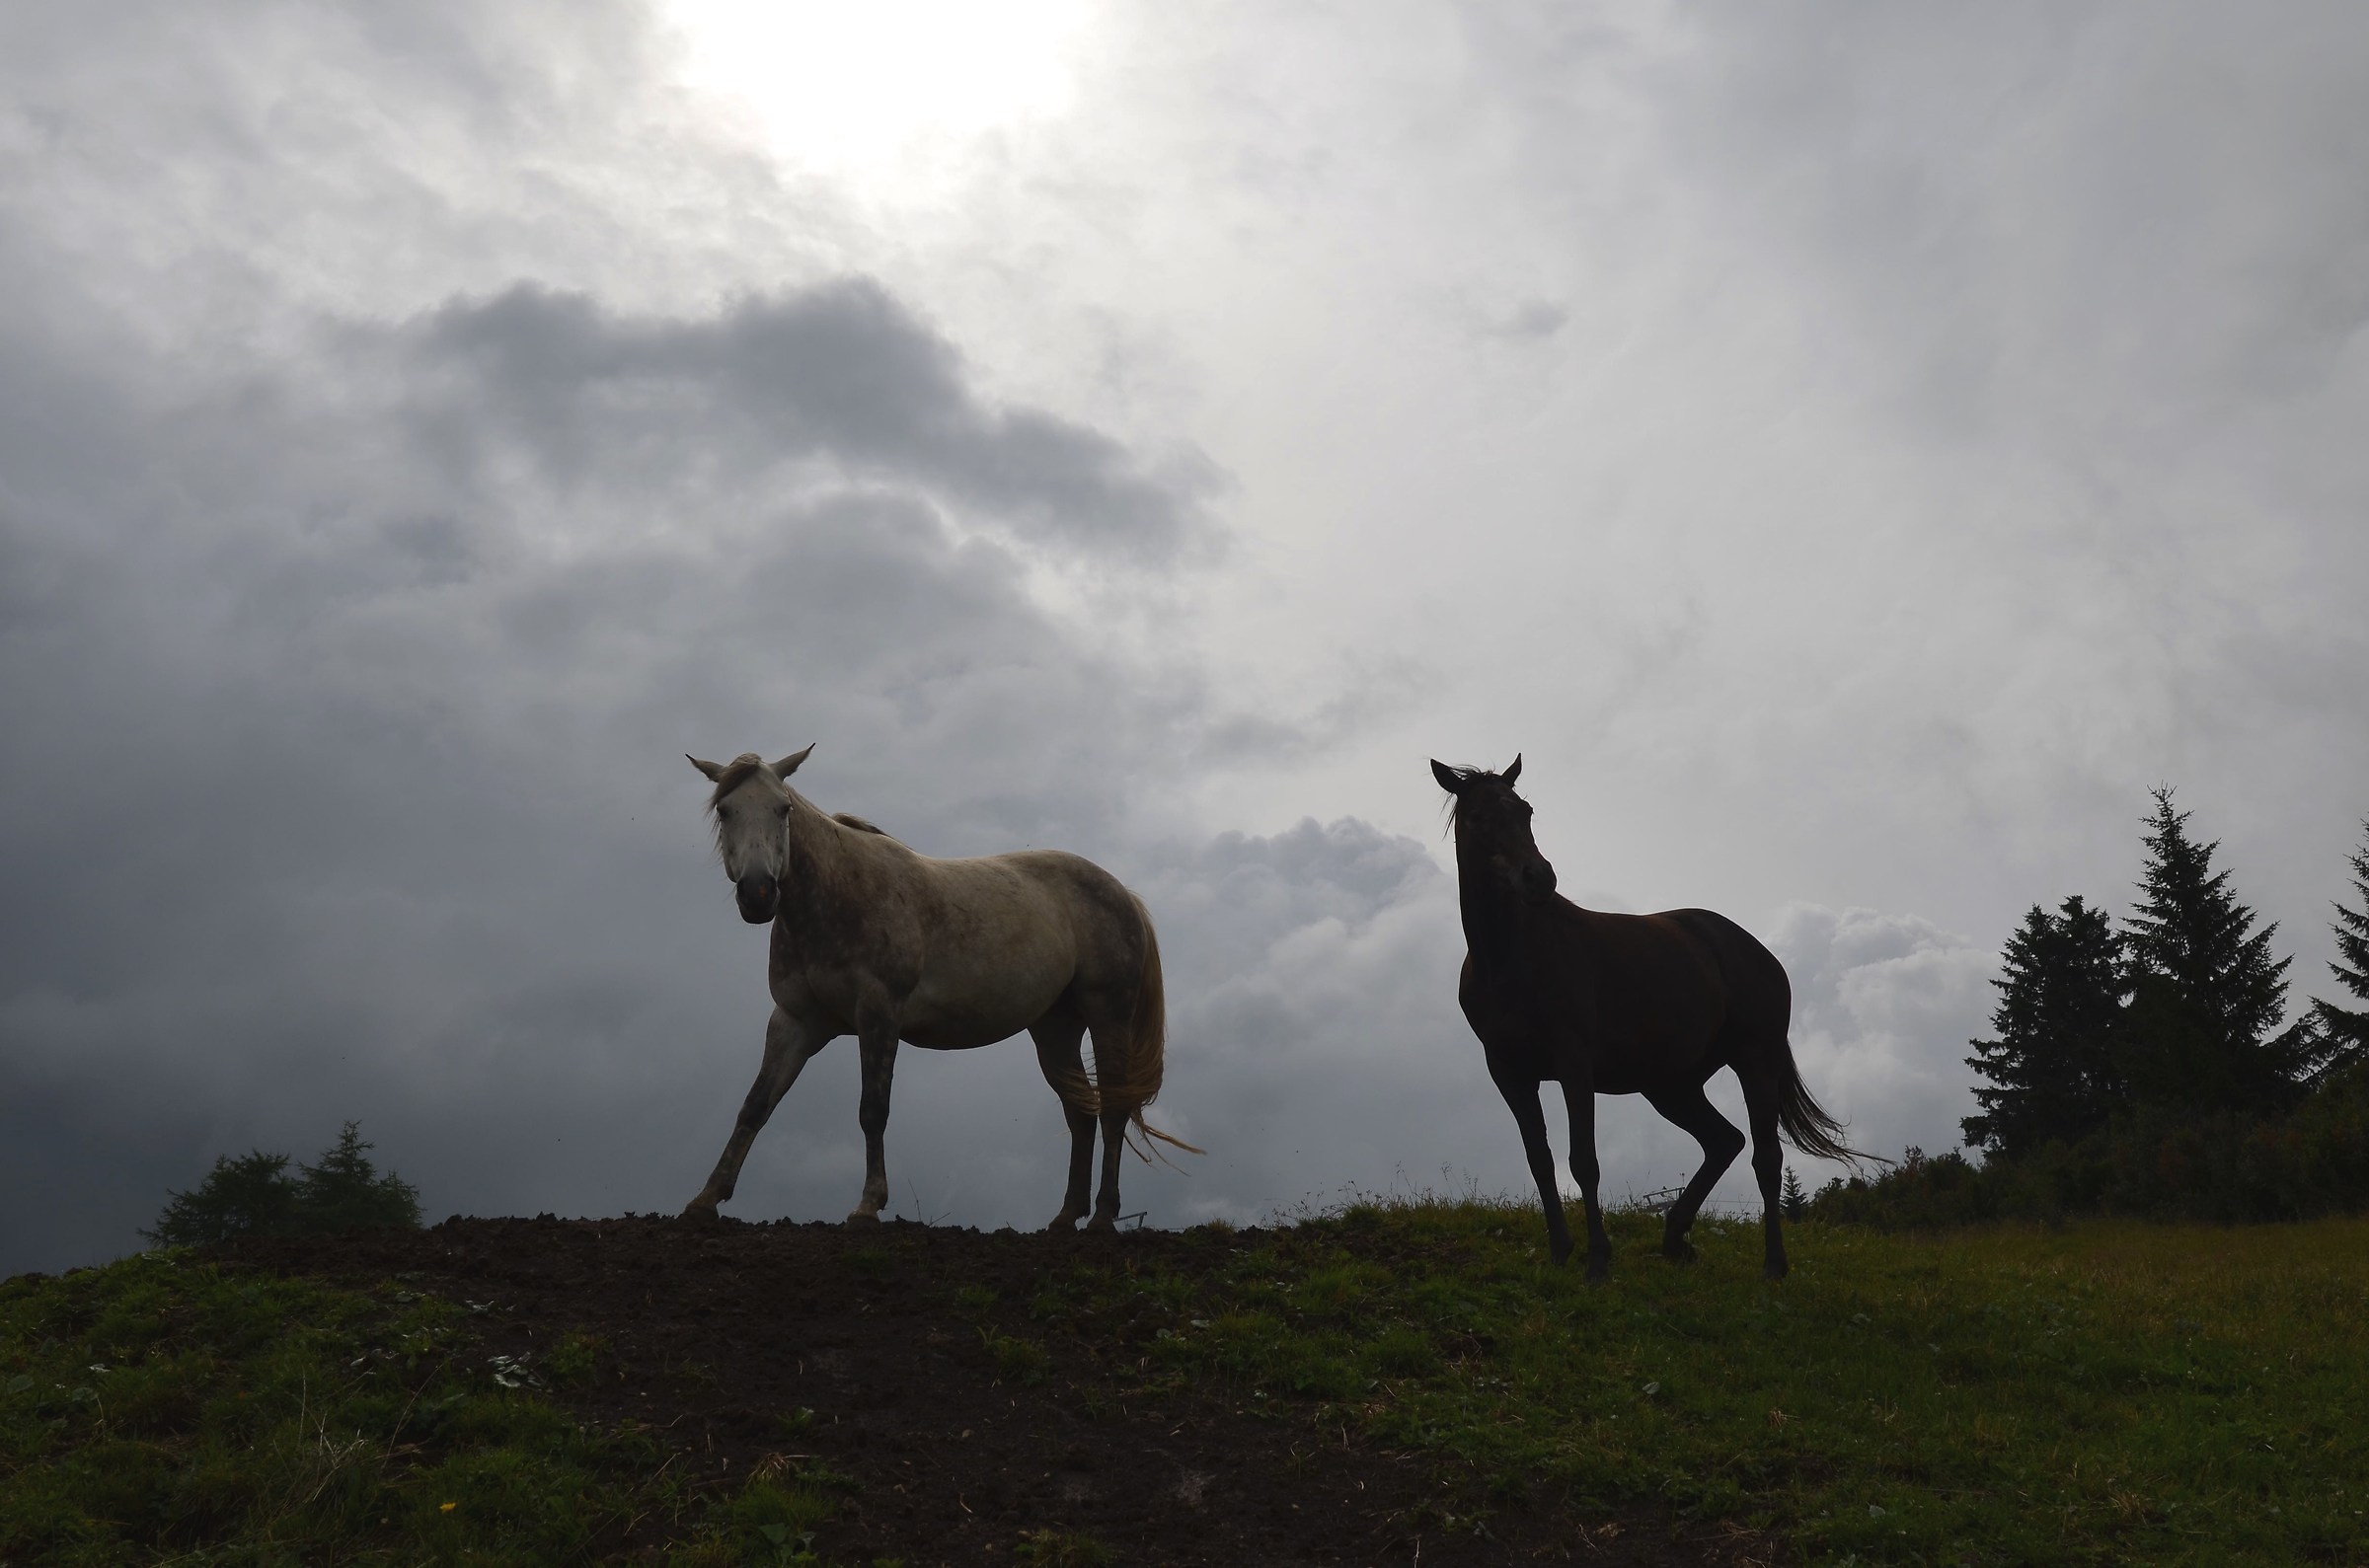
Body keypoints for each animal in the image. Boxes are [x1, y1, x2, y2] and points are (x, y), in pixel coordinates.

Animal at [680, 747, 1197, 1231]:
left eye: (782, 808)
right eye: (725, 809)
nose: (758, 893)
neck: (836, 899)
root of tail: (1122, 893)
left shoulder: (878, 1015)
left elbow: (873, 1110)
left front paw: (868, 1206)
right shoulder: (794, 1022)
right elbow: (755, 1106)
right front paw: (705, 1200)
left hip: (1108, 1017)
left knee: (1112, 1109)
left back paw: (1104, 1217)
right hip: (1055, 1030)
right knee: (1081, 1113)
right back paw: (1066, 1216)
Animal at [1430, 755, 1865, 1280]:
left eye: (1525, 811)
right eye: (1477, 818)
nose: (1538, 879)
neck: (1510, 959)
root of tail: (1758, 952)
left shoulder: (1574, 1064)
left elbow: (1584, 1161)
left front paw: (1598, 1260)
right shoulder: (1508, 1073)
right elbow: (1540, 1160)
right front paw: (1560, 1252)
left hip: (1754, 1060)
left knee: (1766, 1157)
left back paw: (1773, 1265)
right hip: (1670, 1086)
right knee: (1724, 1141)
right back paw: (1675, 1238)